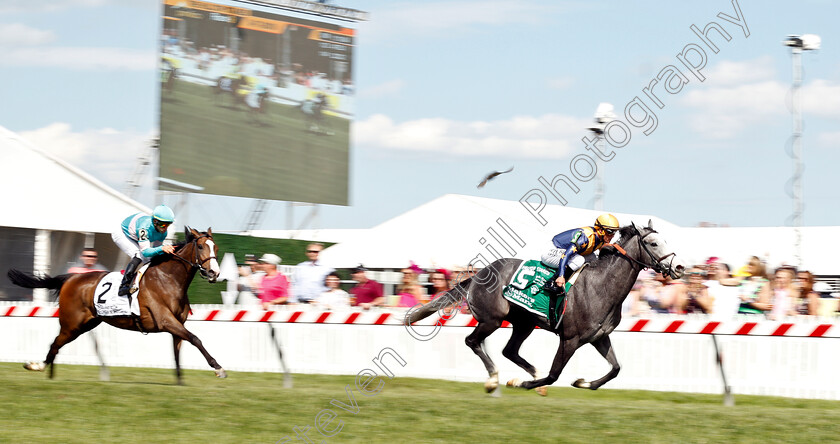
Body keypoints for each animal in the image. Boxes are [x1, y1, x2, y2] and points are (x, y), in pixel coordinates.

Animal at [7, 227, 223, 384]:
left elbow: (178, 352)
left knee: (58, 344)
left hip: (85, 324)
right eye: (201, 246)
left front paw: (180, 382)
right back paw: (38, 367)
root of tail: (71, 277)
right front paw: (218, 368)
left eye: (216, 248)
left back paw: (49, 373)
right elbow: (195, 339)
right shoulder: (165, 320)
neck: (168, 278)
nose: (214, 273)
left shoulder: (176, 325)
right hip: (71, 324)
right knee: (55, 343)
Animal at [404, 224, 684, 394]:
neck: (602, 286)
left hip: (524, 323)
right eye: (653, 243)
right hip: (491, 320)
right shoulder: (570, 338)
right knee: (472, 342)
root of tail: (479, 274)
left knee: (509, 350)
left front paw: (583, 382)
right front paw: (526, 383)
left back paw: (523, 373)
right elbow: (554, 374)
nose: (679, 267)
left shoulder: (599, 337)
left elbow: (615, 369)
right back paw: (494, 378)